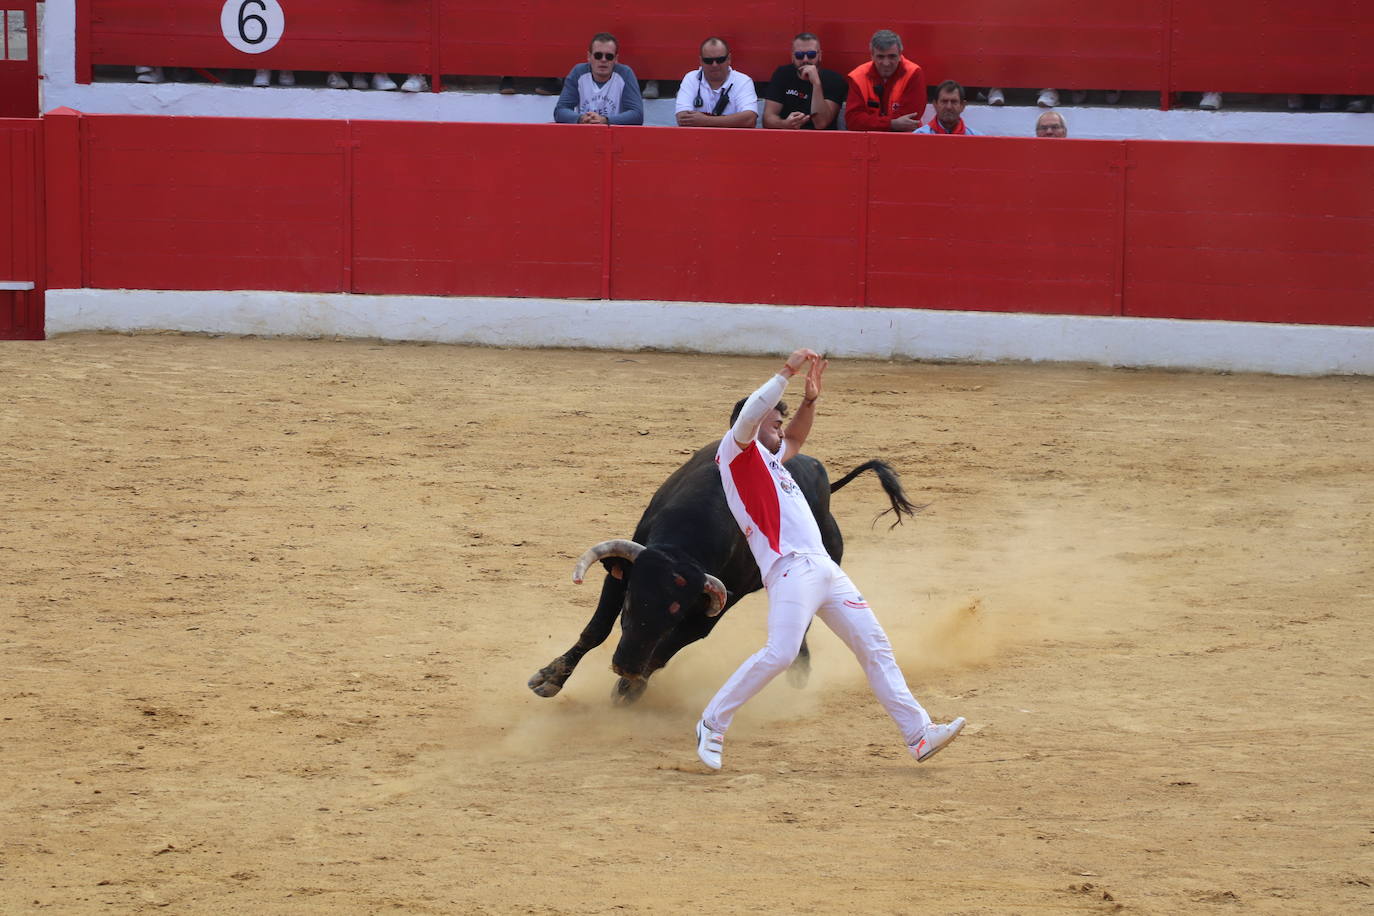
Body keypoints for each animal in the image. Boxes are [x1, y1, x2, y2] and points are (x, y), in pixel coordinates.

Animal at [530, 439, 917, 708]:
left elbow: (667, 648)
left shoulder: (715, 605)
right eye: (629, 606)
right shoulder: (621, 573)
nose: (626, 666)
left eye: (674, 616)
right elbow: (595, 629)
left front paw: (629, 690)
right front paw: (548, 678)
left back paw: (800, 670)